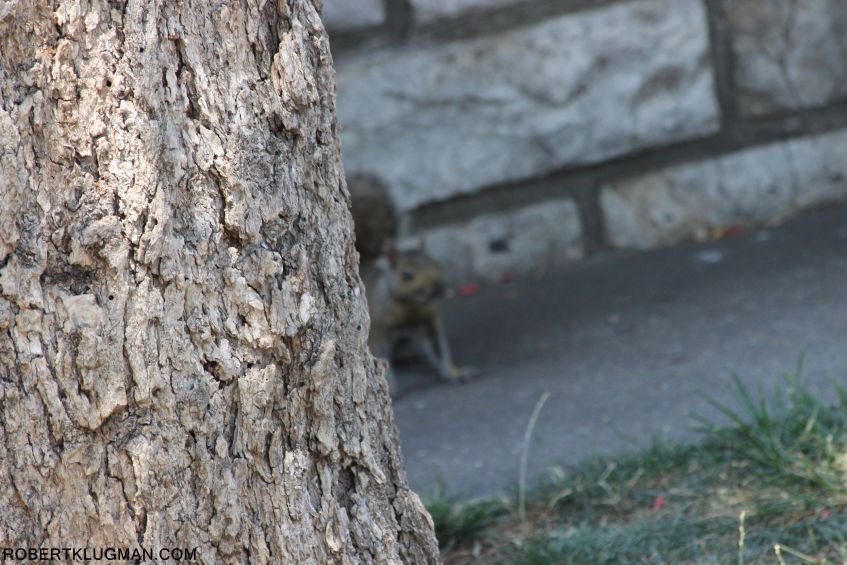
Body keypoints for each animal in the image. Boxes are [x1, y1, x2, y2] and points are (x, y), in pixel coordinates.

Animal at [349, 174, 477, 393]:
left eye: (437, 263)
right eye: (406, 275)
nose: (438, 290)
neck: (411, 306)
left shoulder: (430, 319)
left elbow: (438, 348)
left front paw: (454, 373)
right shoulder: (380, 325)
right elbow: (382, 352)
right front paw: (390, 386)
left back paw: (409, 356)